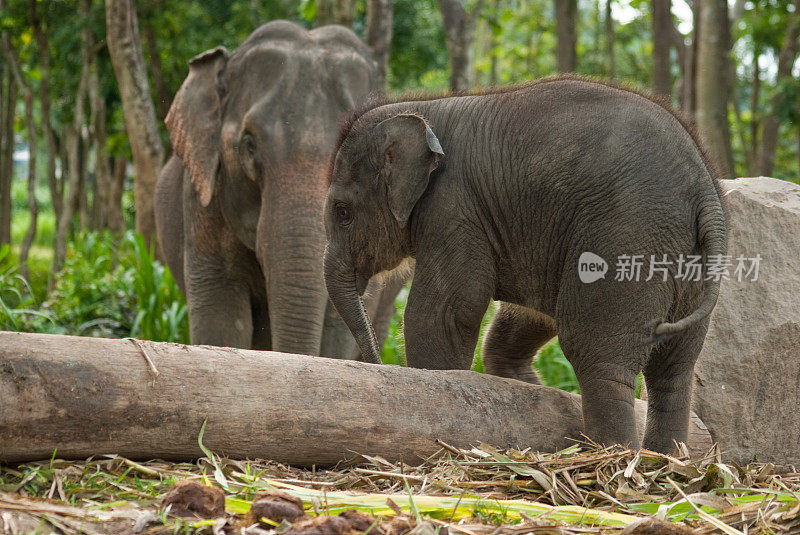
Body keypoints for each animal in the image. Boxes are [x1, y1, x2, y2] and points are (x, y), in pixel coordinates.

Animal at [322, 76, 728, 452]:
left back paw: (614, 460)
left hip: (626, 238)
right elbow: (525, 316)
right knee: (674, 371)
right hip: (689, 269)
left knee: (597, 356)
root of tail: (704, 191)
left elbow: (444, 314)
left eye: (342, 211)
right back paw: (666, 463)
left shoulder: (453, 209)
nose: (377, 363)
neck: (420, 110)